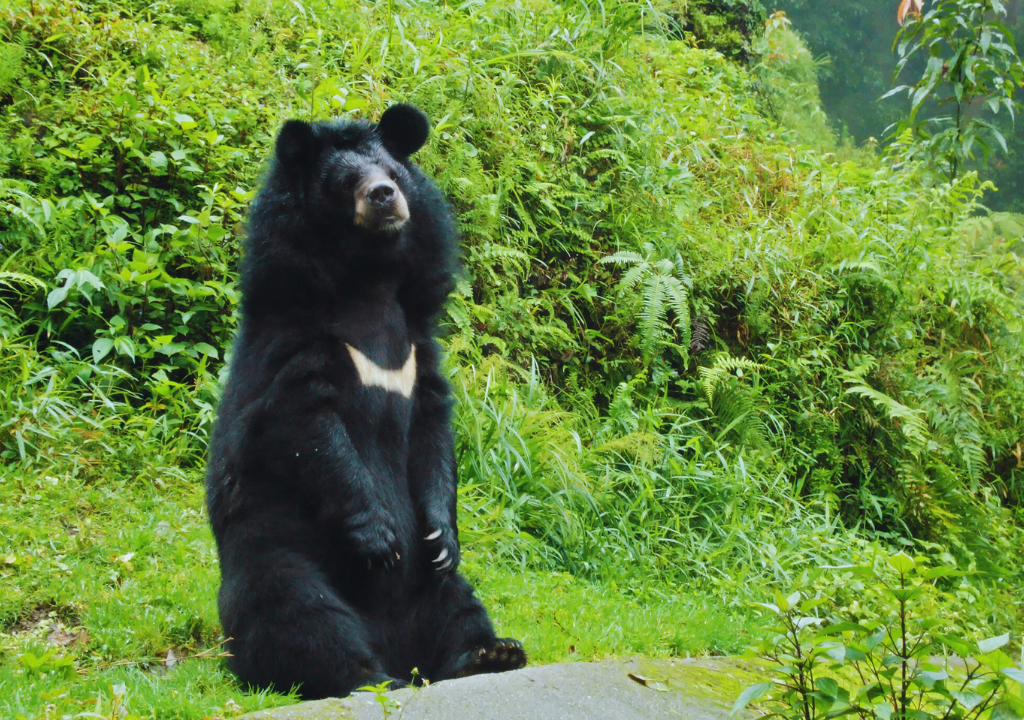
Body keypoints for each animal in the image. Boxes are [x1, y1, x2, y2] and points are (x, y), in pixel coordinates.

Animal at [204, 104, 526, 700]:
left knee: (457, 601)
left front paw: (441, 534)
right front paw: (378, 538)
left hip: (435, 592)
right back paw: (367, 676)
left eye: (393, 173)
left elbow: (432, 432)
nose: (383, 196)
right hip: (279, 551)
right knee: (298, 613)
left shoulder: (419, 351)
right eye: (345, 181)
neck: (369, 280)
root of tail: (399, 648)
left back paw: (488, 653)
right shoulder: (294, 342)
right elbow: (307, 426)